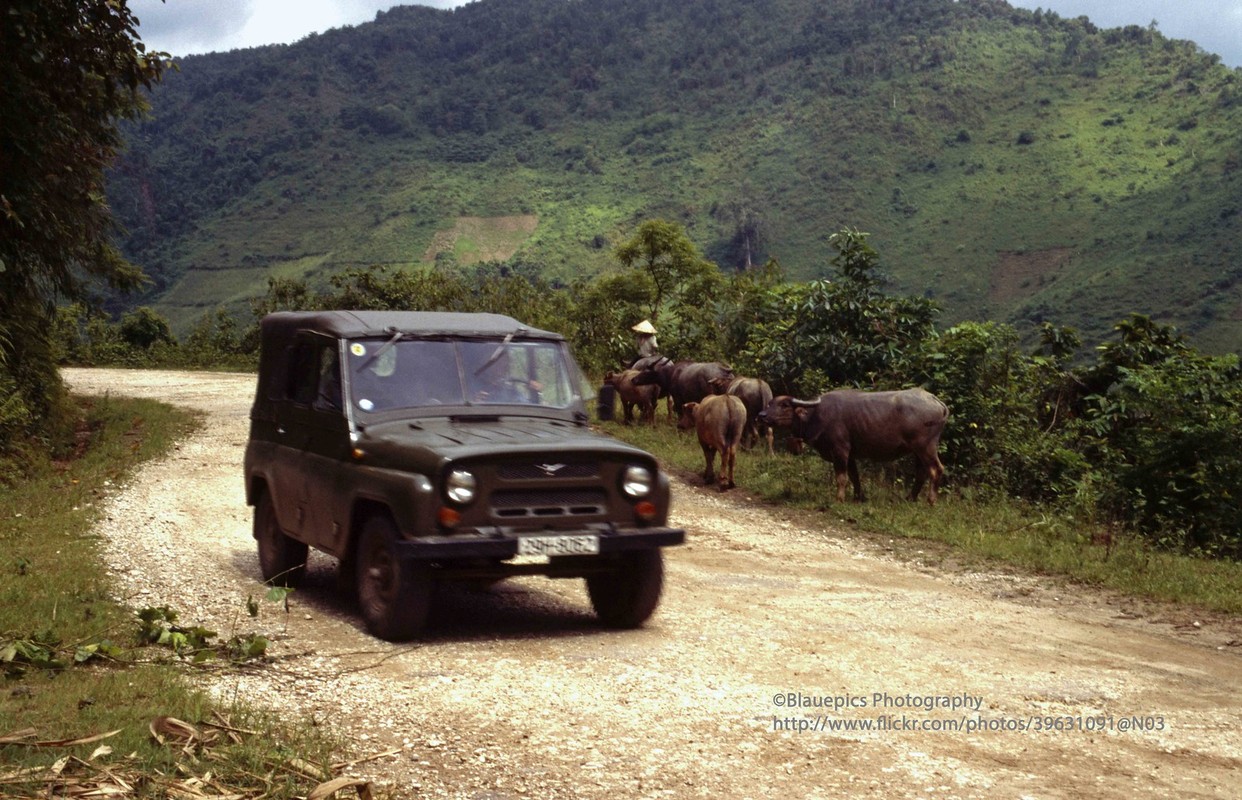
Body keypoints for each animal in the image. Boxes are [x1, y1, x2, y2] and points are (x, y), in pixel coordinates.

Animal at [755, 390, 948, 506]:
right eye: (770, 403)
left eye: (784, 405)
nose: (761, 415)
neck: (816, 416)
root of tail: (935, 401)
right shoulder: (851, 455)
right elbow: (855, 477)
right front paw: (858, 497)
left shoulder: (840, 451)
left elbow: (842, 477)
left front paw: (839, 499)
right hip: (918, 451)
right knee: (921, 472)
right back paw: (910, 498)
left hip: (925, 447)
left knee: (936, 469)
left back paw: (930, 501)